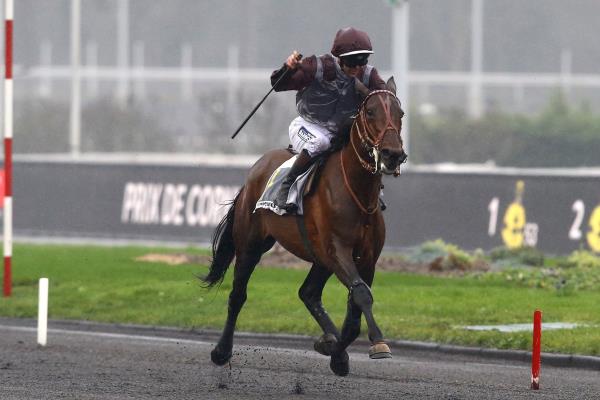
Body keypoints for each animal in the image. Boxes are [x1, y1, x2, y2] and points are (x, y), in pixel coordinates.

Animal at [203, 77, 408, 376]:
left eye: (400, 113)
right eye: (370, 112)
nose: (393, 154)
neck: (357, 192)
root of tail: (256, 168)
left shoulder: (366, 258)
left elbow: (355, 308)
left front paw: (335, 351)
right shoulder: (337, 250)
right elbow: (361, 296)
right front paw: (375, 342)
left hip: (319, 258)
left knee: (308, 293)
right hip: (251, 244)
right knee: (238, 294)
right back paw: (221, 351)